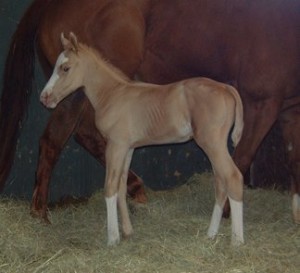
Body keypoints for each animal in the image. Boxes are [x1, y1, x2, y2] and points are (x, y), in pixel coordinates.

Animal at [1, 0, 300, 223]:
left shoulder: (290, 112)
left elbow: (293, 160)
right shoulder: (262, 104)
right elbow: (242, 158)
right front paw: (226, 210)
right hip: (72, 95)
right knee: (56, 140)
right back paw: (40, 212)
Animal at [41, 33, 245, 245]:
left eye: (65, 68)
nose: (44, 97)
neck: (113, 94)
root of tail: (226, 88)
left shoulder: (115, 145)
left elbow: (110, 187)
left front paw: (112, 238)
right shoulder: (128, 148)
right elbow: (121, 186)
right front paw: (128, 232)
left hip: (211, 143)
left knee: (233, 177)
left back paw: (237, 241)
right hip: (215, 146)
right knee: (221, 183)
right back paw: (211, 234)